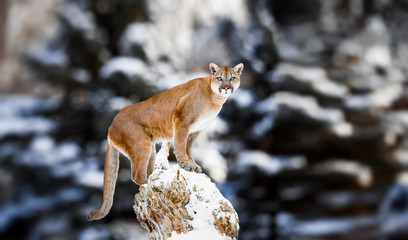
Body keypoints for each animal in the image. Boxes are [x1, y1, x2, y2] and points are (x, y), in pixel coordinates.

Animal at [88, 62, 244, 221]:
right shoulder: (182, 122)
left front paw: (193, 165)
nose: (226, 87)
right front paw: (185, 164)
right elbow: (181, 145)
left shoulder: (195, 131)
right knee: (136, 175)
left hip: (150, 149)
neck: (215, 98)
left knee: (145, 170)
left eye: (232, 78)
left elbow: (188, 149)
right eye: (219, 78)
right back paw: (151, 184)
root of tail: (110, 126)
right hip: (141, 145)